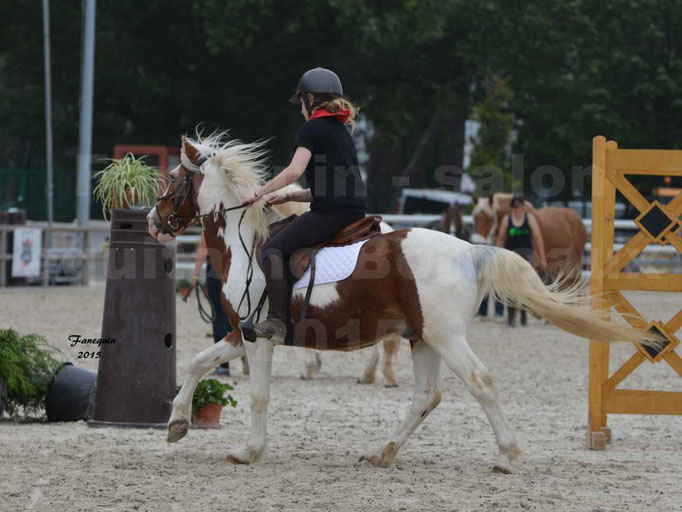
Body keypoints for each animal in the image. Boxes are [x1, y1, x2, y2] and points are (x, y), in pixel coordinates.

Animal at [150, 134, 660, 474]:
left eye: (174, 178)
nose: (155, 221)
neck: (246, 245)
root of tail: (471, 250)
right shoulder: (241, 334)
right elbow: (198, 362)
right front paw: (177, 423)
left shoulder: (259, 339)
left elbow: (257, 394)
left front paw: (248, 451)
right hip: (423, 338)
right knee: (426, 396)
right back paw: (384, 452)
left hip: (445, 337)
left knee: (481, 382)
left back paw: (507, 456)